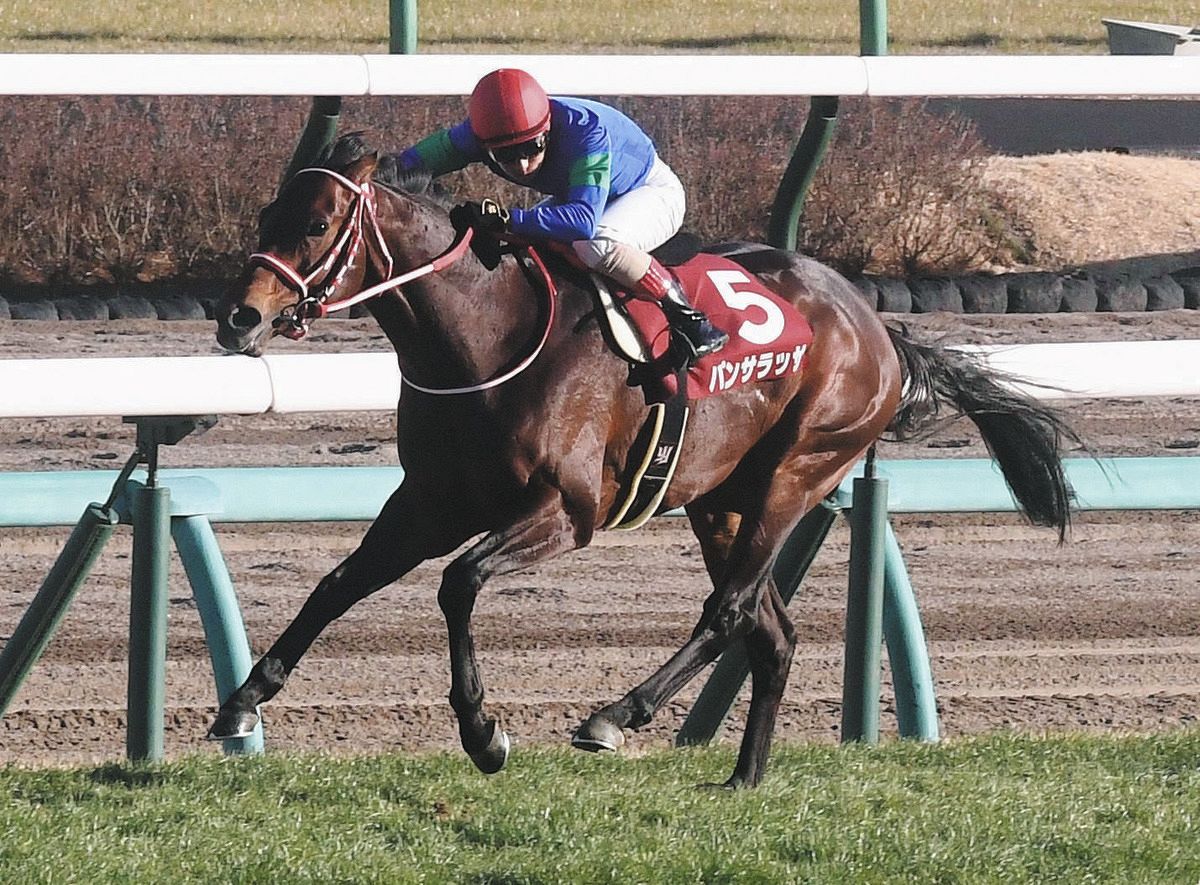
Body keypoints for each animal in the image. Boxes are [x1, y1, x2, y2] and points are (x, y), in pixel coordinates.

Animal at [211, 134, 1077, 788]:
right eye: (267, 212)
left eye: (318, 223)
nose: (237, 317)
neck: (484, 332)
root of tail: (877, 326)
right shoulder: (428, 502)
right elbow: (336, 584)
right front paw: (242, 702)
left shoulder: (566, 510)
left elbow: (459, 582)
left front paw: (484, 732)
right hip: (719, 498)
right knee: (771, 631)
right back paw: (742, 778)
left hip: (797, 472)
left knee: (728, 611)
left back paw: (614, 715)